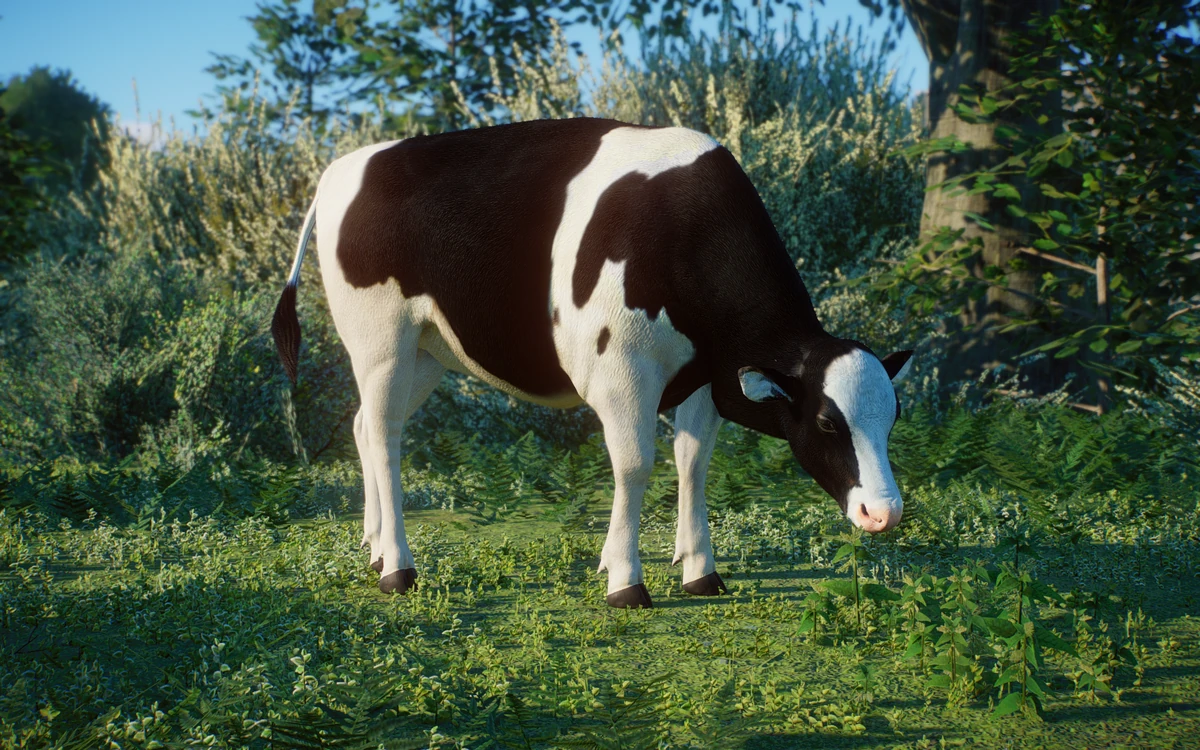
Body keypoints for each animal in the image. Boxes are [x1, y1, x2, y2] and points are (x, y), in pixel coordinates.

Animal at [272, 117, 912, 609]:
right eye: (827, 422)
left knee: (363, 425)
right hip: (381, 342)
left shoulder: (706, 376)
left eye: (893, 417)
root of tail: (340, 169)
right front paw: (626, 582)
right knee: (384, 436)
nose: (884, 513)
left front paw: (700, 571)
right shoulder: (622, 371)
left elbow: (694, 463)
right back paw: (397, 568)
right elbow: (634, 466)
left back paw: (373, 543)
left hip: (427, 354)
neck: (685, 228)